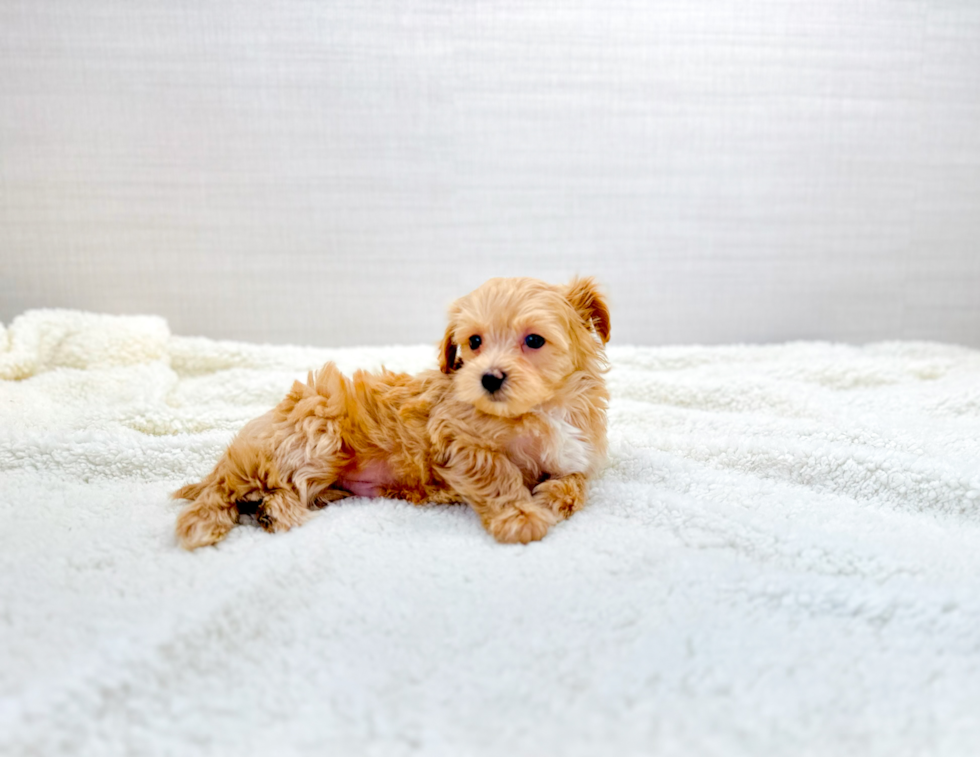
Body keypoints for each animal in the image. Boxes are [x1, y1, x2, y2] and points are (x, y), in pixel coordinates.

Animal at [172, 274, 608, 548]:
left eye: (533, 340)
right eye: (474, 342)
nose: (487, 378)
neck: (543, 408)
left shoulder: (577, 451)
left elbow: (575, 483)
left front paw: (551, 497)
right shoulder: (458, 437)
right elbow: (498, 473)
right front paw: (520, 516)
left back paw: (272, 512)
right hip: (316, 433)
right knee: (236, 489)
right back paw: (255, 515)